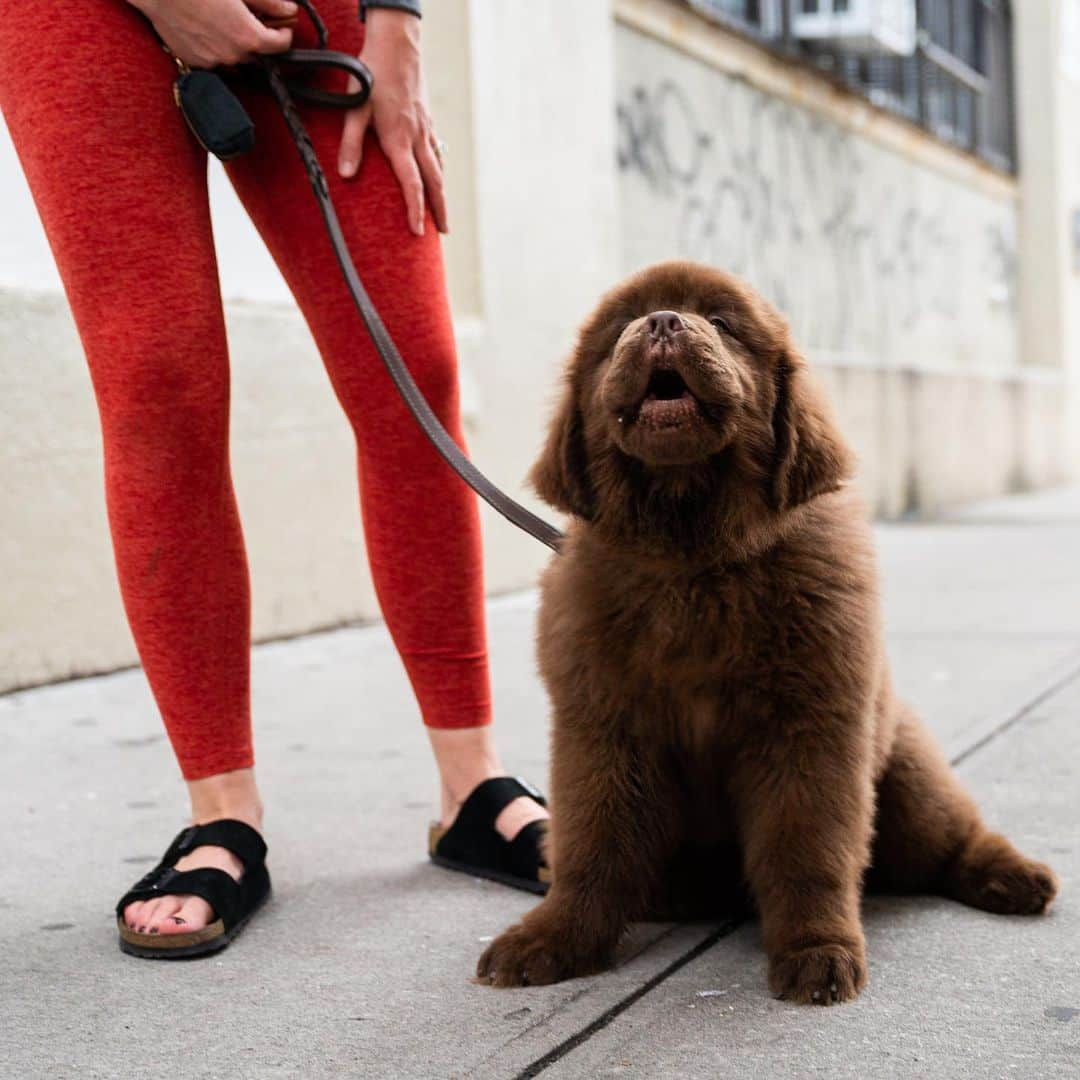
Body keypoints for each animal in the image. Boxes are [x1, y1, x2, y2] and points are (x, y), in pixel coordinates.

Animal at [477, 259, 1058, 1002]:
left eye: (722, 323)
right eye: (620, 329)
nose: (662, 322)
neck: (691, 557)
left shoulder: (808, 728)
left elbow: (805, 849)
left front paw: (817, 951)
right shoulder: (600, 729)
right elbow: (592, 846)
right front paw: (554, 939)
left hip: (907, 774)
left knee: (953, 840)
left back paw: (1016, 878)